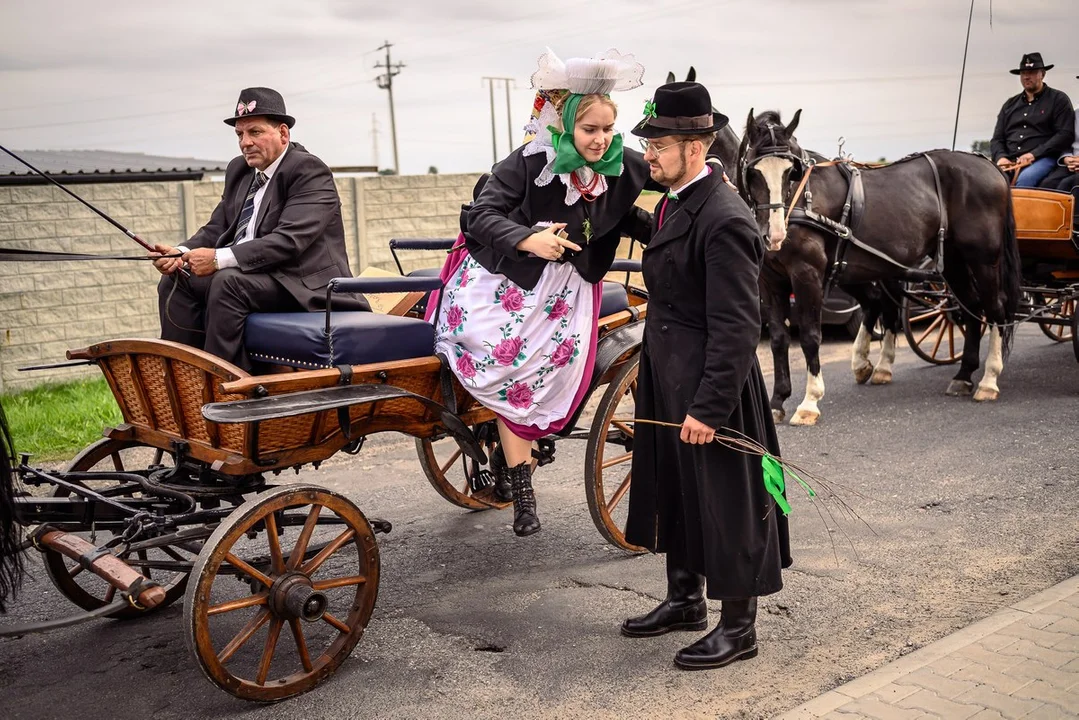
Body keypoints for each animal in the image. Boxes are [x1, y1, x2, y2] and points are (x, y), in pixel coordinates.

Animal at [738, 108, 1022, 423]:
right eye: (753, 172)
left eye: (792, 172)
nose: (775, 235)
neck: (803, 199)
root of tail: (990, 166)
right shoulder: (769, 281)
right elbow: (778, 338)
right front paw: (777, 401)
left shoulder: (807, 274)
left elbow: (811, 337)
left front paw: (809, 402)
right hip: (952, 261)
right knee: (969, 308)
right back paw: (963, 375)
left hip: (983, 258)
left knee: (994, 309)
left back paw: (989, 380)